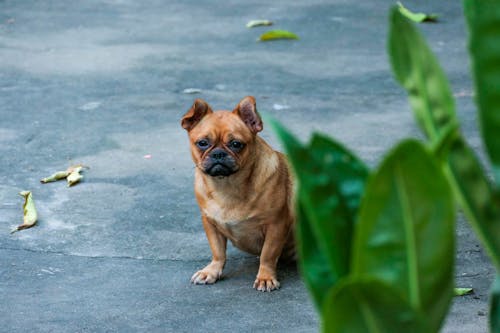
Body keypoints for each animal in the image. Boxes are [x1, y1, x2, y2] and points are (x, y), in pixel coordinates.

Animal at [182, 94, 294, 290]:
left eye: (236, 144)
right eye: (202, 143)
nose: (218, 154)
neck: (227, 185)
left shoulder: (277, 224)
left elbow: (268, 254)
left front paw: (265, 277)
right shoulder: (210, 223)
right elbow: (218, 252)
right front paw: (212, 271)